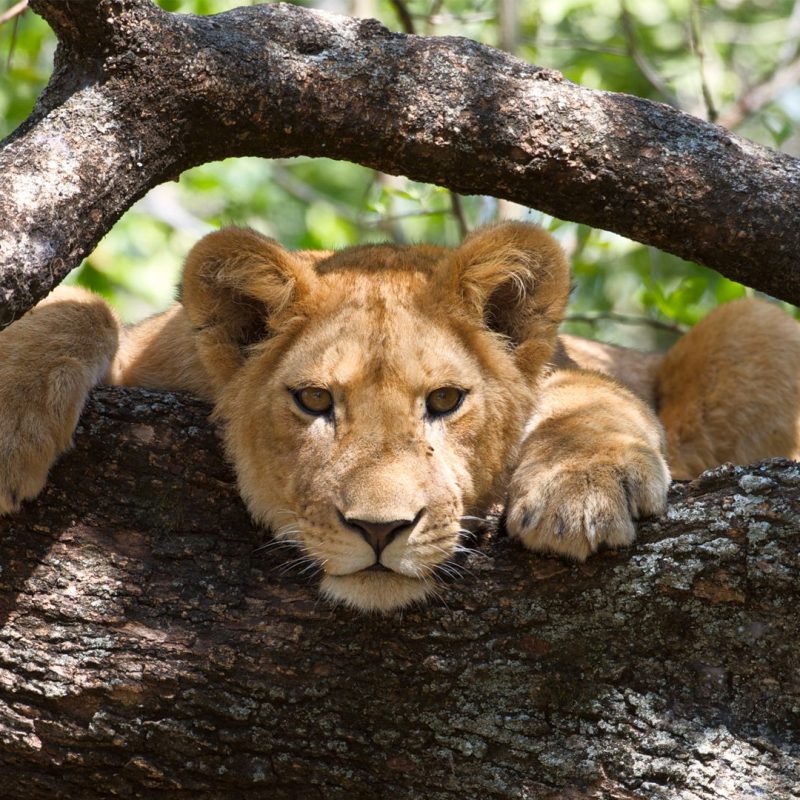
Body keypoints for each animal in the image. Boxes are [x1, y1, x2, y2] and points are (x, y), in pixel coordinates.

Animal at [1, 223, 799, 612]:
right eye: (314, 401)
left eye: (445, 402)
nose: (380, 532)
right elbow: (80, 307)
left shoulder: (572, 370)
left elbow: (591, 395)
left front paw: (580, 492)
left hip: (757, 325)